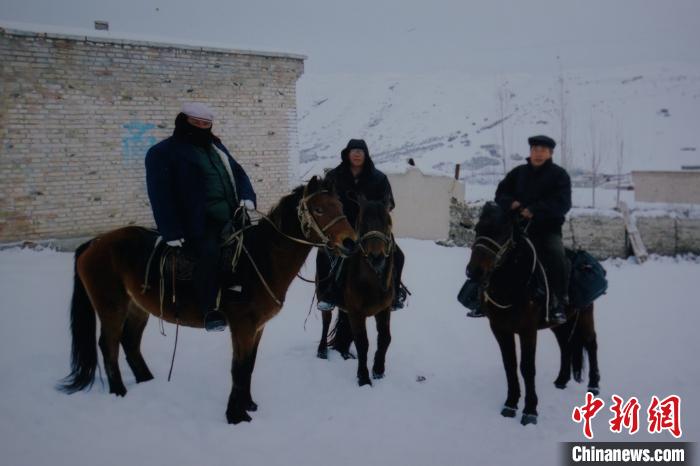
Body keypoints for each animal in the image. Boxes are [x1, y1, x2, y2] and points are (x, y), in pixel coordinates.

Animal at [58, 177, 356, 424]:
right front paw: (236, 415)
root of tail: (93, 243)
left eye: (340, 204)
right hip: (112, 307)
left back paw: (146, 381)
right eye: (318, 209)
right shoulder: (242, 327)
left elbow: (249, 367)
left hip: (137, 307)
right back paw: (119, 391)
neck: (258, 260)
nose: (351, 242)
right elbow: (238, 369)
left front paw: (248, 405)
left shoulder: (257, 328)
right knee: (108, 346)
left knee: (129, 343)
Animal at [316, 200, 394, 386]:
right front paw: (364, 378)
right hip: (323, 298)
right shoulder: (357, 314)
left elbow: (385, 338)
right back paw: (322, 351)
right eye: (362, 223)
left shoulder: (383, 310)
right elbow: (362, 343)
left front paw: (378, 370)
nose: (376, 257)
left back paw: (344, 352)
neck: (373, 282)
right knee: (326, 323)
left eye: (388, 222)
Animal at [468, 201, 600, 426]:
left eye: (503, 231)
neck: (513, 285)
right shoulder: (500, 329)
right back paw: (561, 380)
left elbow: (527, 368)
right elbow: (510, 365)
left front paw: (530, 410)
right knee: (566, 345)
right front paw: (510, 404)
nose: (474, 272)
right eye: (477, 229)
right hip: (561, 323)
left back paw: (594, 385)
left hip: (585, 314)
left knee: (591, 343)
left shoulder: (527, 330)